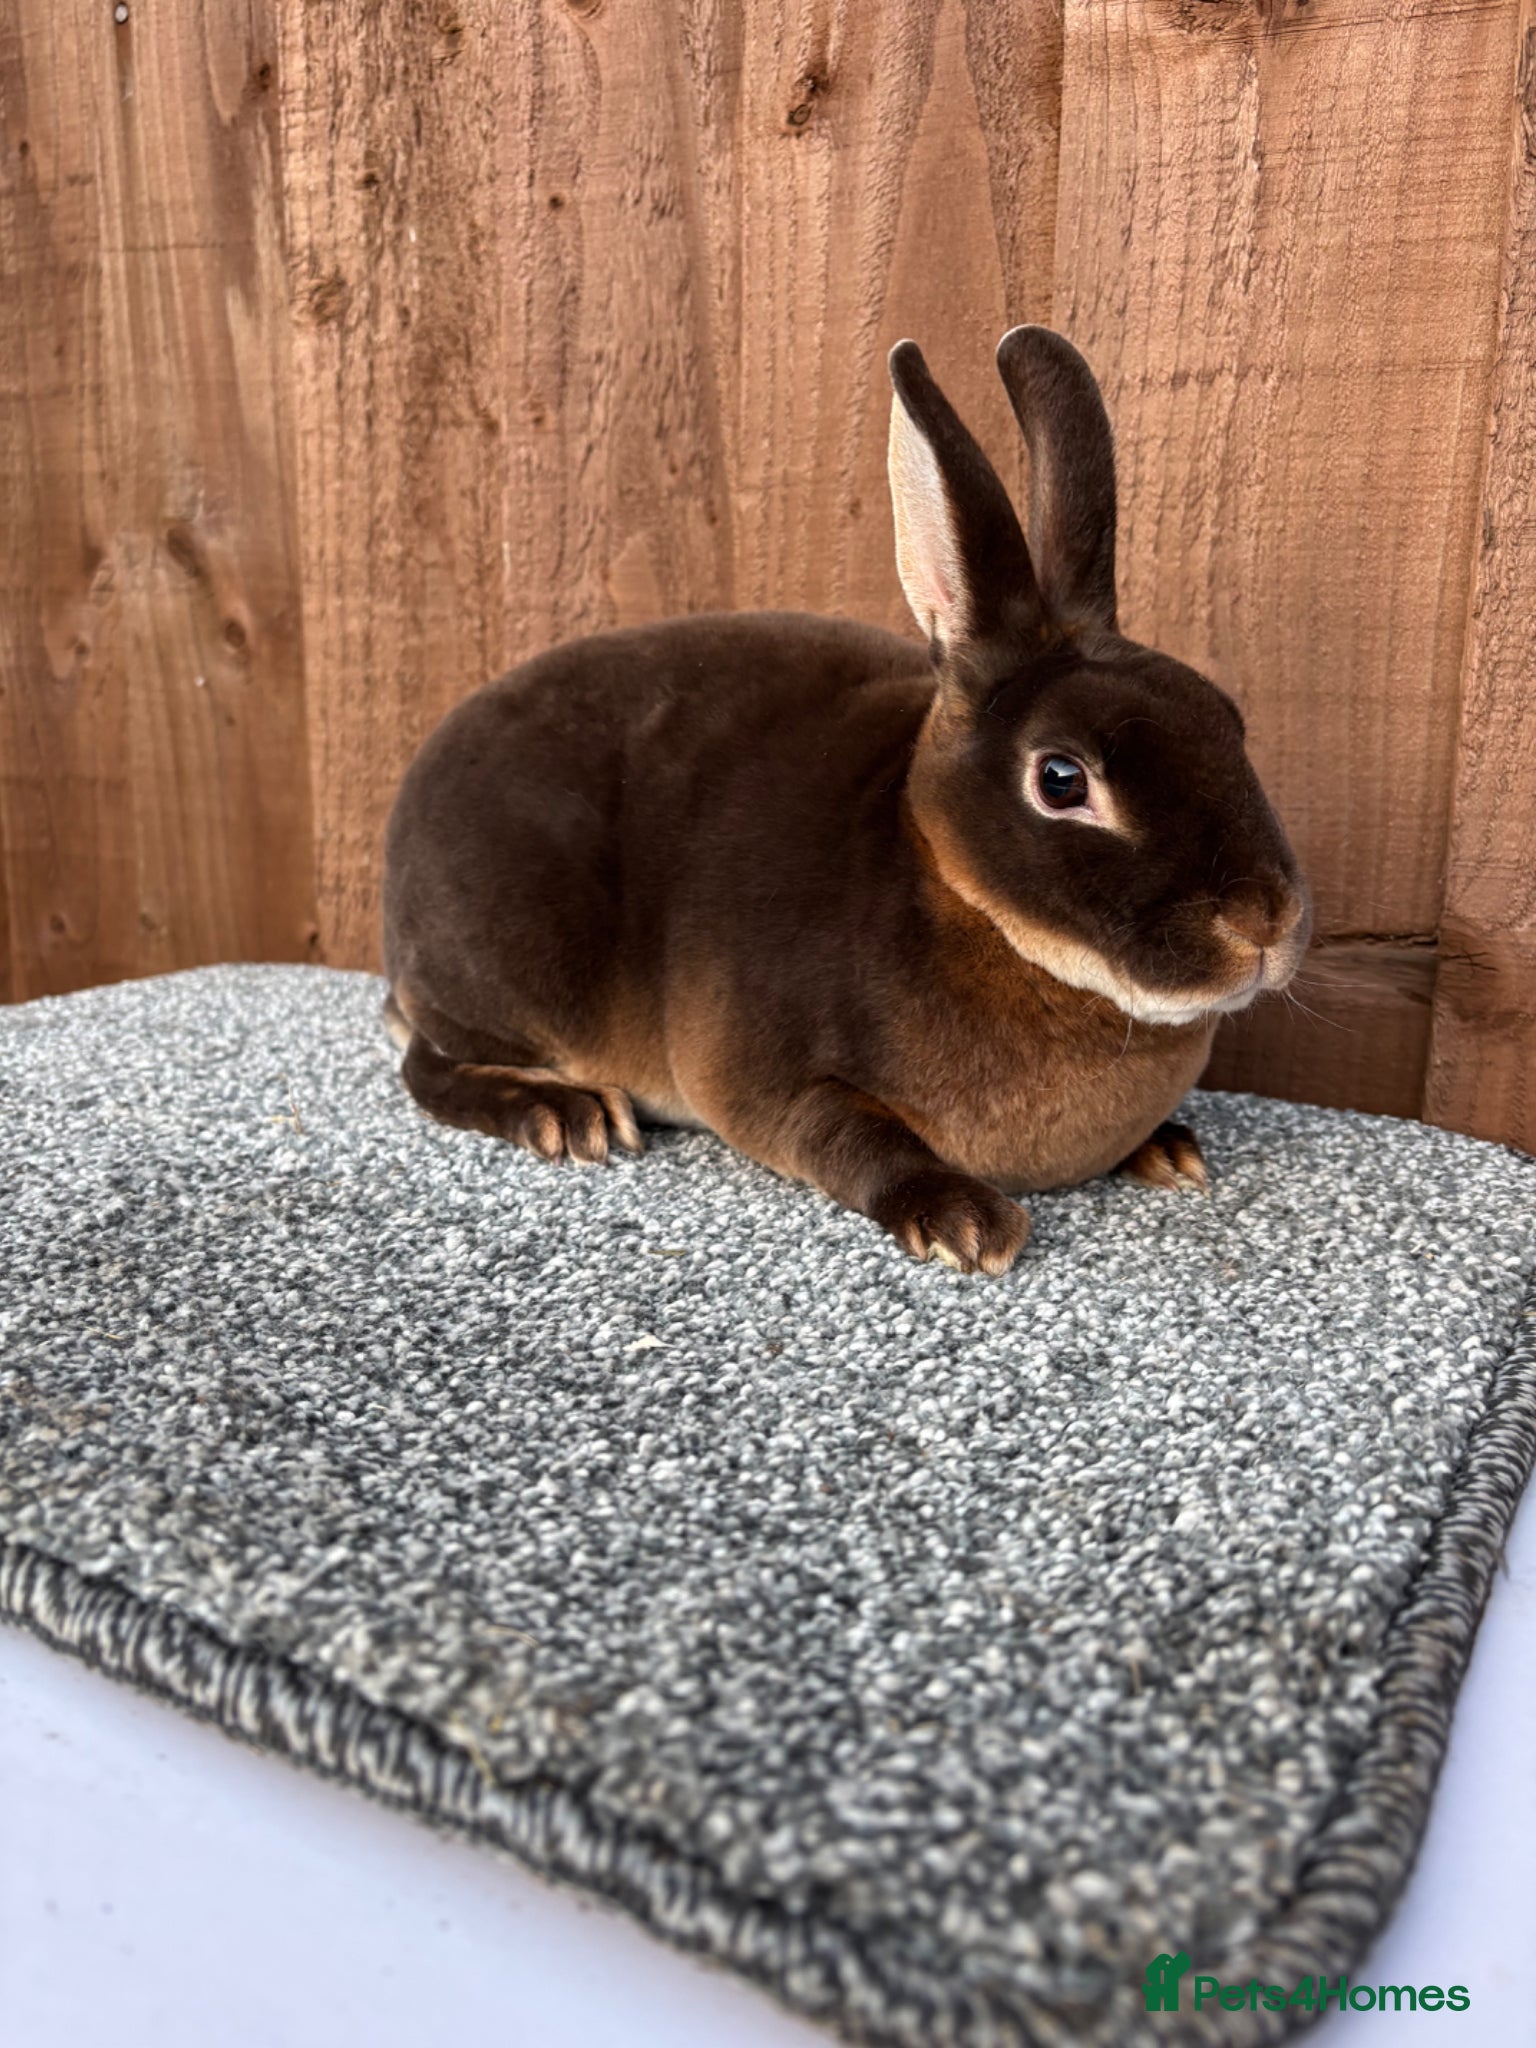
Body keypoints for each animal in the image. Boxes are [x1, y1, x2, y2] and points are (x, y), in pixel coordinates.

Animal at [382, 327, 1310, 1274]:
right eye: (1061, 779)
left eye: (1227, 720)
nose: (1263, 922)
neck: (968, 903)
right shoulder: (778, 1082)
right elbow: (851, 1138)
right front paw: (966, 1222)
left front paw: (1169, 1149)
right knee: (426, 1063)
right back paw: (566, 1116)